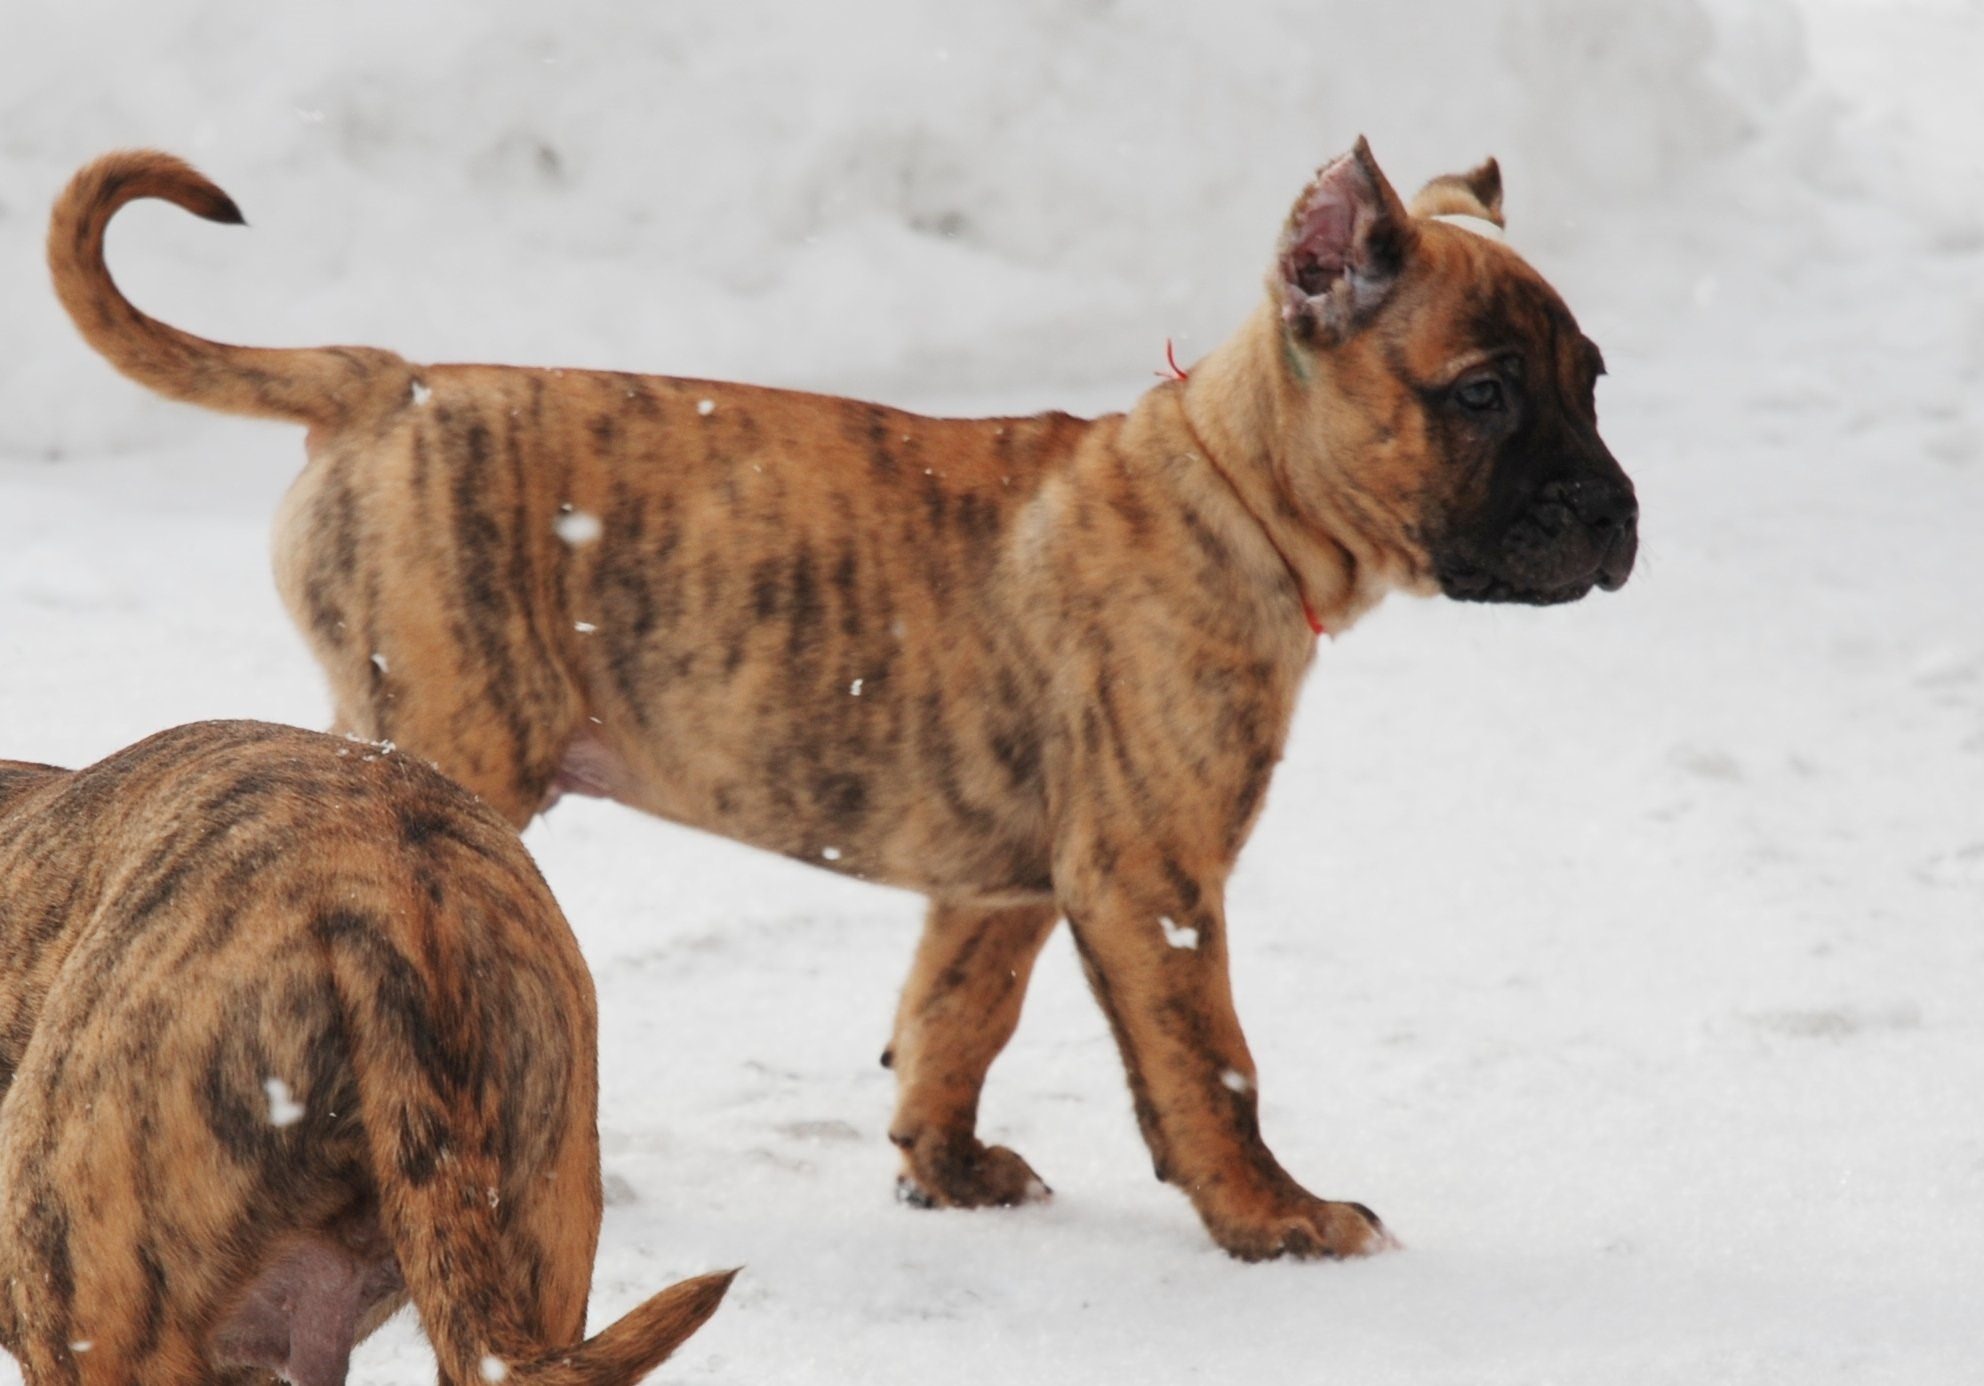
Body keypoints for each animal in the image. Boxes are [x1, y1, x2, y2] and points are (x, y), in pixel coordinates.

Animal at [50, 146, 1642, 1261]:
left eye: (1594, 380)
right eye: (1484, 394)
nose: (1623, 519)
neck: (1231, 489)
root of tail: (387, 384)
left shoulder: (1009, 882)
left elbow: (956, 1017)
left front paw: (946, 1168)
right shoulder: (1157, 876)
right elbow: (1210, 1067)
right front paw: (1276, 1218)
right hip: (450, 743)